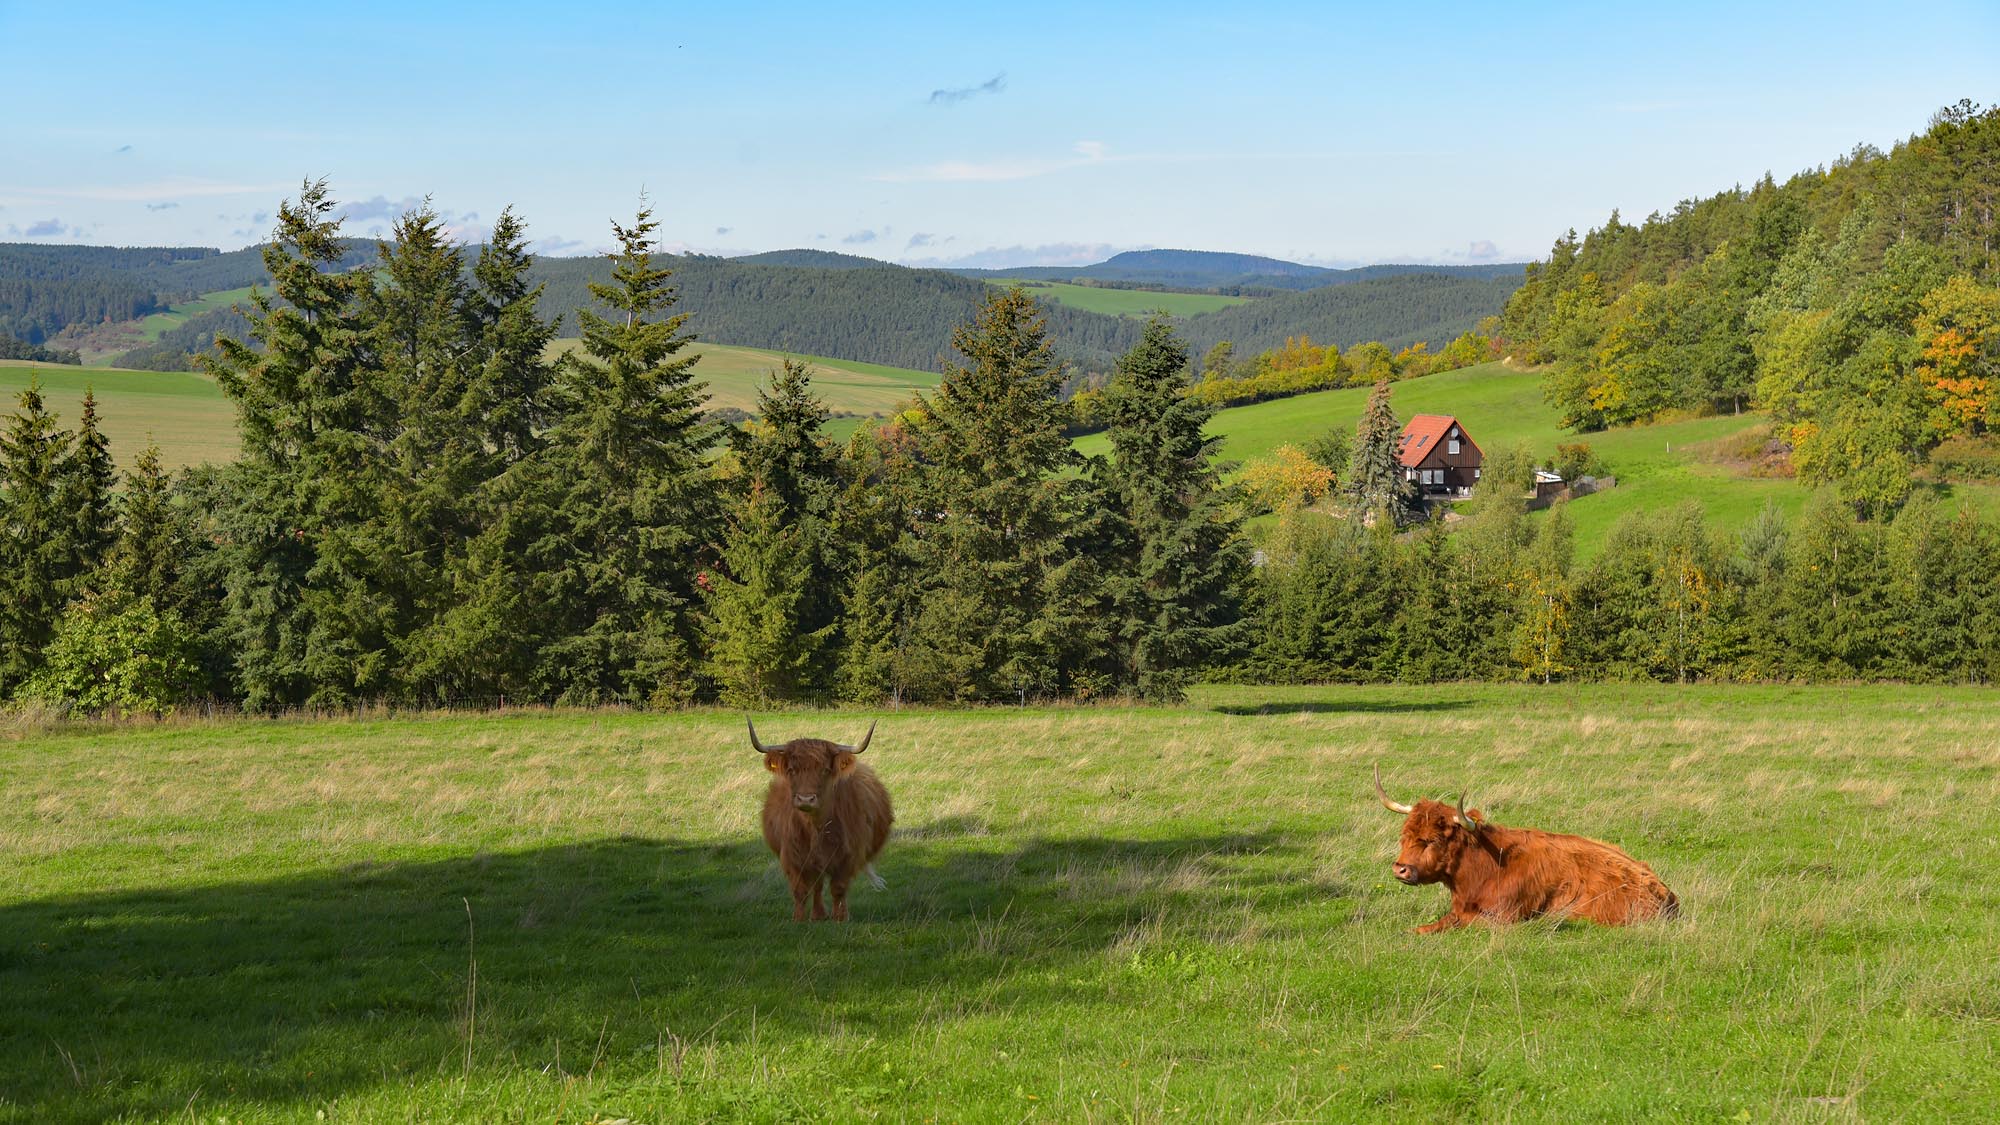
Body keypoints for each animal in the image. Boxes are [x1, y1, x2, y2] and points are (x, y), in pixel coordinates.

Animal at [752, 716, 892, 920]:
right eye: (791, 770)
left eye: (825, 770)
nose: (806, 799)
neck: (815, 828)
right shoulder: (793, 858)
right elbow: (801, 891)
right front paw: (799, 919)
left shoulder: (848, 856)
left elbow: (839, 889)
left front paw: (840, 918)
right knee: (816, 886)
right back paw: (818, 915)